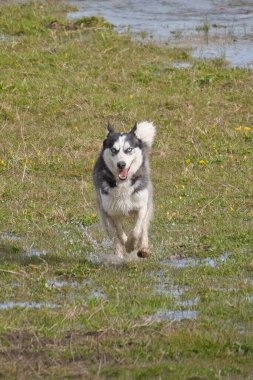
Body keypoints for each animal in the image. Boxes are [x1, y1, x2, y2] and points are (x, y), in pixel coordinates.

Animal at [93, 121, 156, 258]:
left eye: (129, 149)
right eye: (113, 150)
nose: (121, 164)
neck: (123, 184)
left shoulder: (141, 206)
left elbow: (137, 230)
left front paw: (131, 245)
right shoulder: (111, 212)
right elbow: (118, 233)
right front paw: (126, 244)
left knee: (143, 229)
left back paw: (143, 249)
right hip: (103, 212)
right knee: (113, 235)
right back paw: (119, 255)